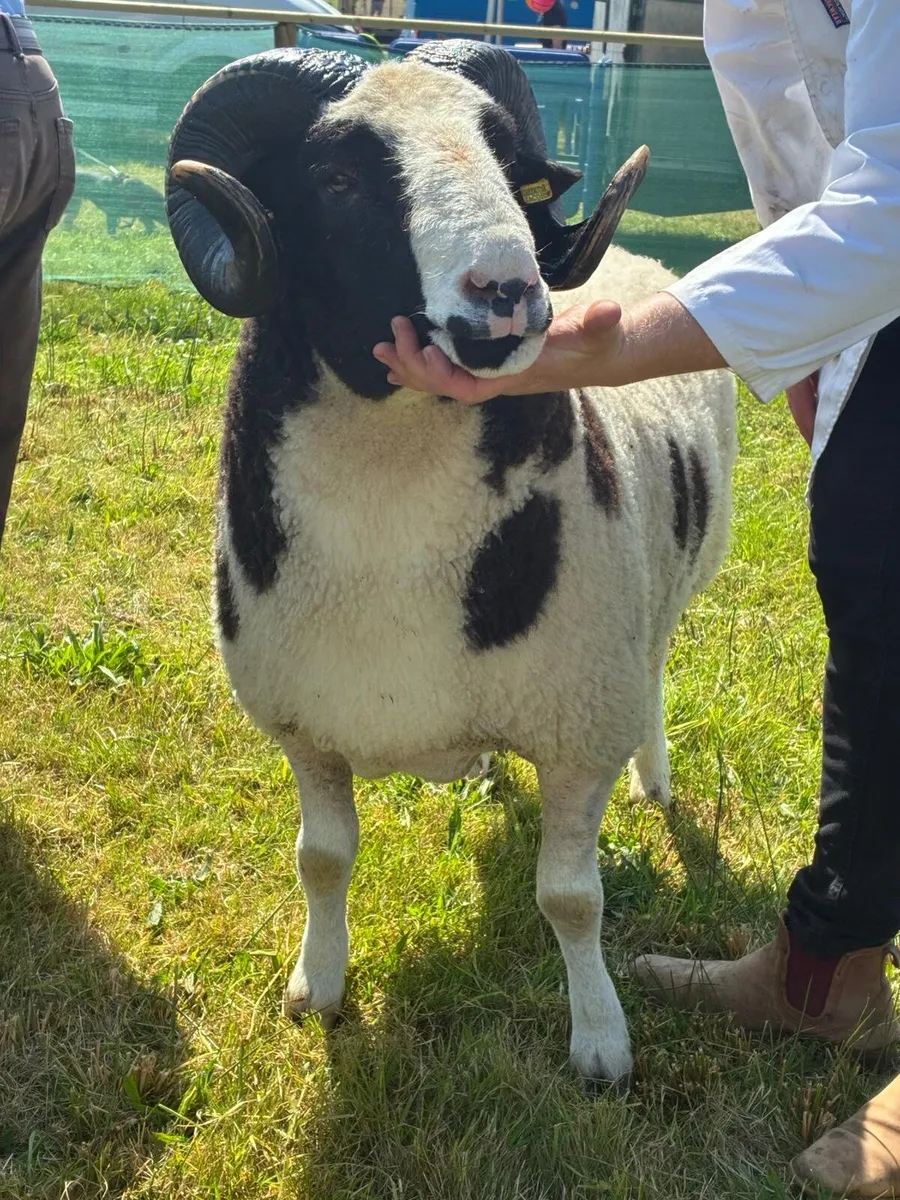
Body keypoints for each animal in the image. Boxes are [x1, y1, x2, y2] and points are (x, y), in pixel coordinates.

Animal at [165, 40, 737, 1084]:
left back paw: (657, 779)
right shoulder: (303, 726)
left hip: (665, 604)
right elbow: (321, 860)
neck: (389, 546)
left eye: (511, 168)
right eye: (338, 179)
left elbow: (571, 900)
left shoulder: (579, 728)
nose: (509, 293)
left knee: (656, 671)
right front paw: (318, 990)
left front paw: (601, 1042)